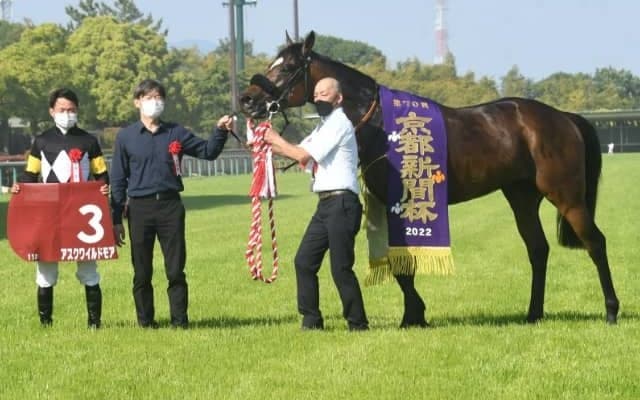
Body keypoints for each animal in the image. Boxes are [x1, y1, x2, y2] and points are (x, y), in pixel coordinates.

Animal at [239, 31, 619, 326]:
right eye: (273, 62)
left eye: (287, 67)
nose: (247, 100)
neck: (380, 123)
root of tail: (564, 117)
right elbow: (400, 263)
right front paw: (415, 313)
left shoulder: (400, 203)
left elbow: (402, 264)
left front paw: (414, 314)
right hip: (522, 197)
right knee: (538, 250)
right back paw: (533, 313)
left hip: (566, 196)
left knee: (596, 243)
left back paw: (611, 310)